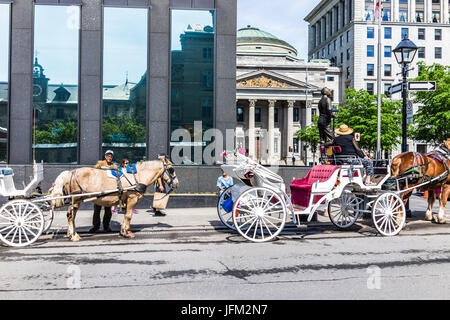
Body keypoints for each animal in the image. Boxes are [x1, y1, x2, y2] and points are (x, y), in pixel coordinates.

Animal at [48, 156, 178, 241]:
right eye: (171, 169)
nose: (176, 183)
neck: (137, 176)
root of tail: (70, 172)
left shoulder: (126, 201)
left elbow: (126, 215)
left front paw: (123, 231)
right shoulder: (132, 199)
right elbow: (129, 215)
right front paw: (127, 233)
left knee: (71, 216)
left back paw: (71, 233)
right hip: (76, 199)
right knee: (71, 215)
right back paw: (74, 236)